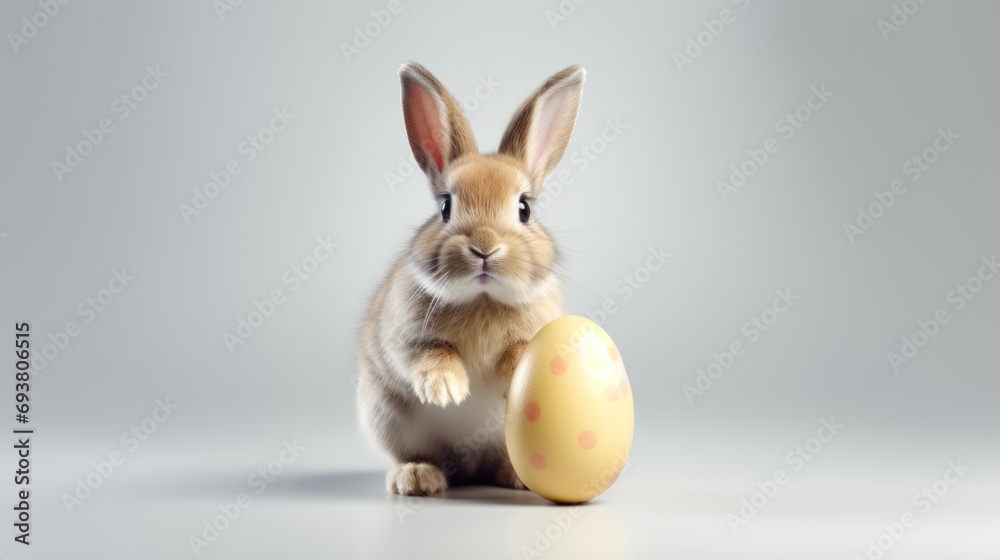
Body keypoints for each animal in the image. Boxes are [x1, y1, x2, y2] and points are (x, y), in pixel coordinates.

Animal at [356, 62, 587, 496]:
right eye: (446, 207)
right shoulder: (404, 340)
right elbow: (429, 354)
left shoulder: (531, 336)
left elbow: (519, 353)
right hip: (389, 420)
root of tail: (471, 464)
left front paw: (513, 383)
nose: (484, 247)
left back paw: (517, 477)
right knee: (420, 456)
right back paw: (417, 477)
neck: (483, 298)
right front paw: (448, 391)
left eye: (524, 209)